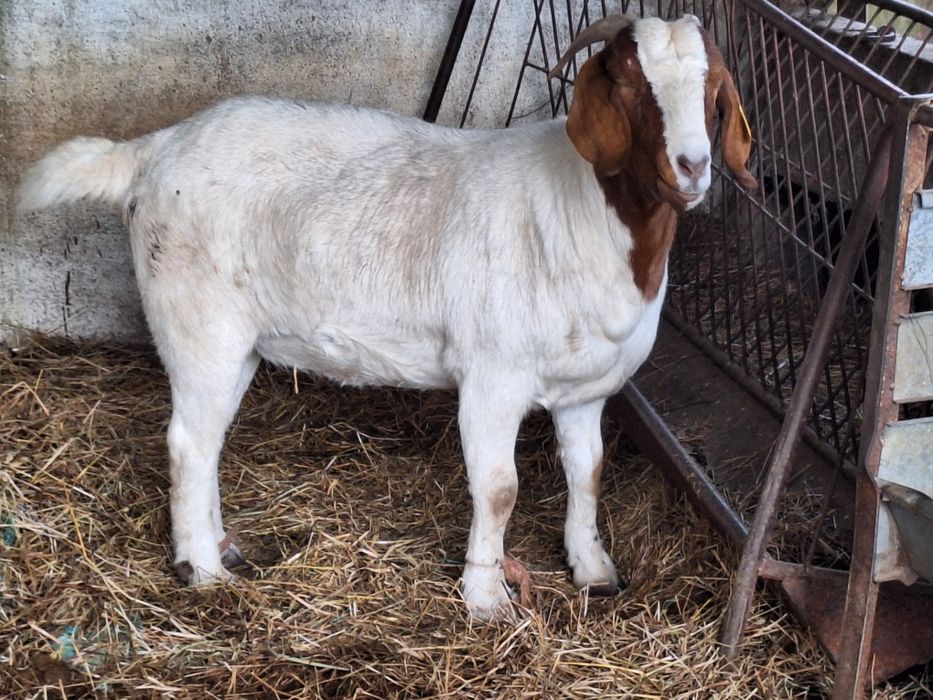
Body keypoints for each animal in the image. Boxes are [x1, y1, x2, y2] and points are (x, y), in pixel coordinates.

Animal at [18, 14, 757, 618]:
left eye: (714, 91)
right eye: (629, 85)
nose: (692, 167)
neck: (587, 211)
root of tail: (150, 151)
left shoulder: (588, 389)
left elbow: (589, 473)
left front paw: (593, 568)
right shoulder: (493, 377)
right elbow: (498, 489)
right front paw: (485, 598)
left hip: (236, 339)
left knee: (208, 442)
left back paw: (220, 546)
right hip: (197, 322)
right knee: (187, 443)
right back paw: (201, 570)